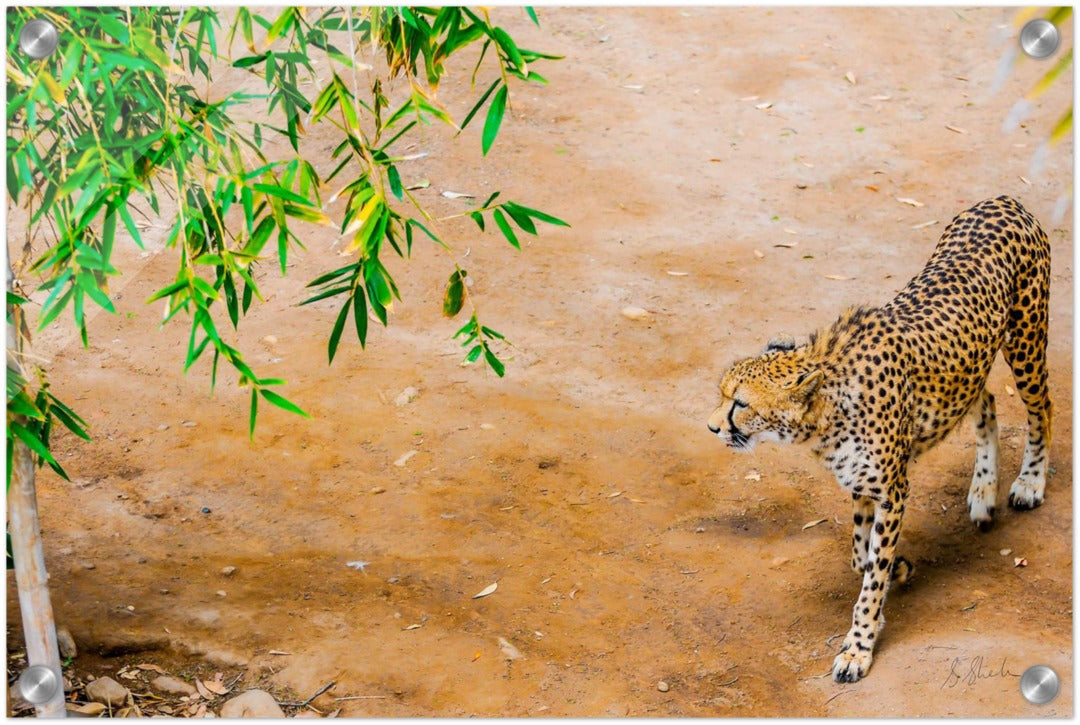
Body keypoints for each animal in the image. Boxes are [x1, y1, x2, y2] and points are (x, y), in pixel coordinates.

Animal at [704, 195, 1049, 682]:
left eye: (740, 404)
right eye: (723, 395)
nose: (712, 427)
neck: (827, 411)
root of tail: (1002, 199)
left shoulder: (892, 491)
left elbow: (870, 576)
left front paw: (859, 647)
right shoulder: (862, 484)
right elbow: (860, 555)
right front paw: (896, 571)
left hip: (1026, 342)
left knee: (1042, 410)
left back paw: (1030, 482)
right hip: (971, 368)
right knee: (985, 401)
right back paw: (983, 492)